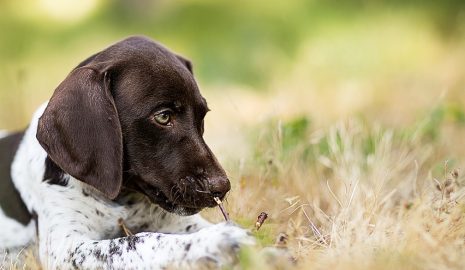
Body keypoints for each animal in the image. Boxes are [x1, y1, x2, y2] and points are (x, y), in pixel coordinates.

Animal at [0, 36, 252, 270]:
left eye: (203, 116)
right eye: (163, 116)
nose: (221, 187)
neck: (121, 198)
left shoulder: (177, 222)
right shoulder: (65, 249)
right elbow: (138, 241)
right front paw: (217, 241)